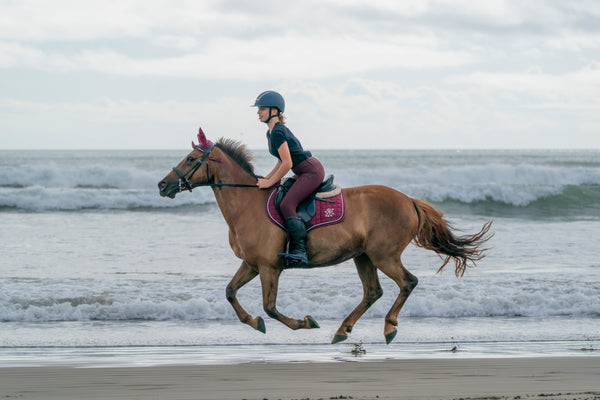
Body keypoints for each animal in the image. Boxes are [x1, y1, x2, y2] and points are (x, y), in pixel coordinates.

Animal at [158, 130, 492, 344]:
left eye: (191, 159)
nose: (163, 185)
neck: (246, 204)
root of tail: (409, 200)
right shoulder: (252, 264)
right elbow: (230, 293)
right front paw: (254, 323)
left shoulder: (269, 266)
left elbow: (270, 307)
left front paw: (304, 323)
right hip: (363, 256)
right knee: (373, 292)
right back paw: (342, 330)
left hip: (383, 255)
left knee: (407, 282)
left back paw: (388, 328)